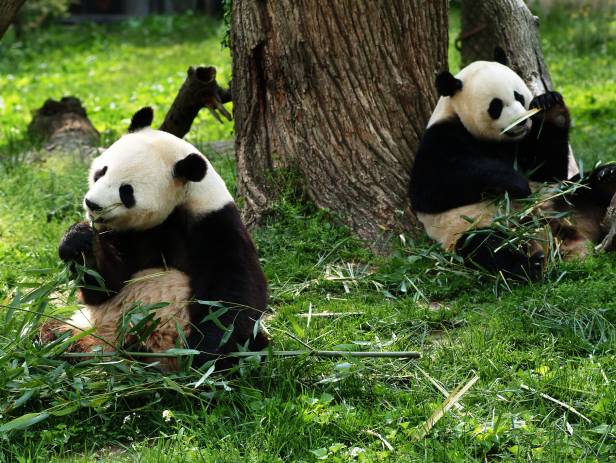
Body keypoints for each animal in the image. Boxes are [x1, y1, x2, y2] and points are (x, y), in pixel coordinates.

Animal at [41, 107, 268, 372]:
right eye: (101, 172)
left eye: (126, 191)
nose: (92, 204)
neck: (179, 204)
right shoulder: (126, 234)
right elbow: (106, 285)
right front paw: (77, 240)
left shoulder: (215, 224)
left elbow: (234, 295)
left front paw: (201, 354)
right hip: (84, 325)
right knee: (51, 331)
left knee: (252, 346)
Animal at [410, 57, 616, 282]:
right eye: (496, 106)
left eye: (519, 96)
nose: (522, 121)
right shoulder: (440, 138)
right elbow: (430, 188)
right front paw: (514, 183)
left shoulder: (525, 146)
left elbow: (549, 170)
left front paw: (551, 107)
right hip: (474, 226)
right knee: (486, 247)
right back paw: (531, 265)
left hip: (560, 200)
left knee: (581, 187)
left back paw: (607, 177)